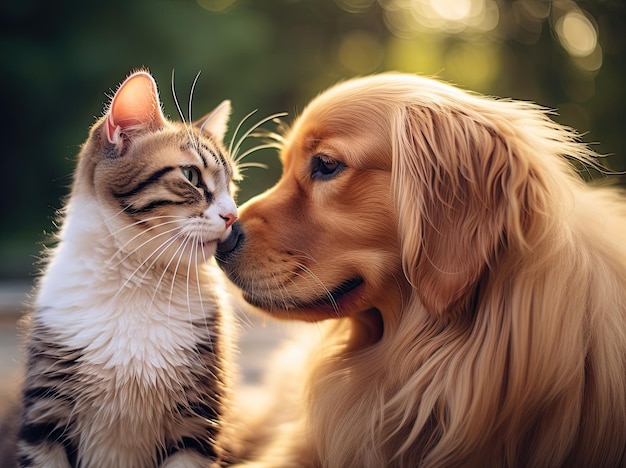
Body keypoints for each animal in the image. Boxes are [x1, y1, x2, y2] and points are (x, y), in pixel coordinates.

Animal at [0, 70, 239, 468]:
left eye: (231, 185)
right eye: (191, 175)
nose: (234, 215)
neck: (138, 277)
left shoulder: (195, 422)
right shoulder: (46, 418)